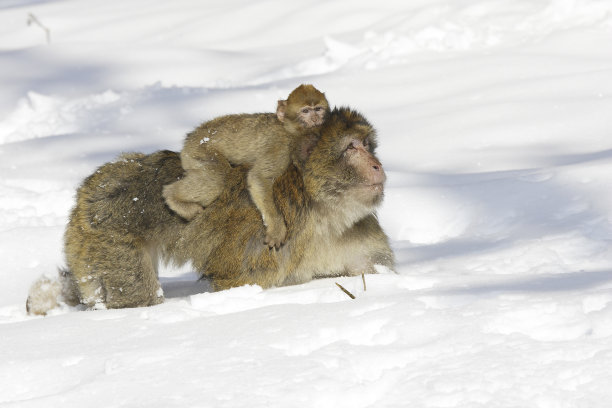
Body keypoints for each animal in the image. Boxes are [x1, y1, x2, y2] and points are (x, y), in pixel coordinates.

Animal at [26, 106, 394, 312]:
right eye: (352, 148)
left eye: (367, 144)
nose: (377, 165)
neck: (322, 211)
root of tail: (94, 183)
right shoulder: (259, 245)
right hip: (107, 232)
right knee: (137, 296)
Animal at [163, 84, 330, 247]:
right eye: (305, 111)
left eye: (318, 109)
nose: (315, 118)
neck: (289, 129)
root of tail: (191, 136)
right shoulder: (281, 145)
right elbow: (258, 177)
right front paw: (276, 228)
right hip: (198, 150)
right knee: (217, 178)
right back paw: (172, 197)